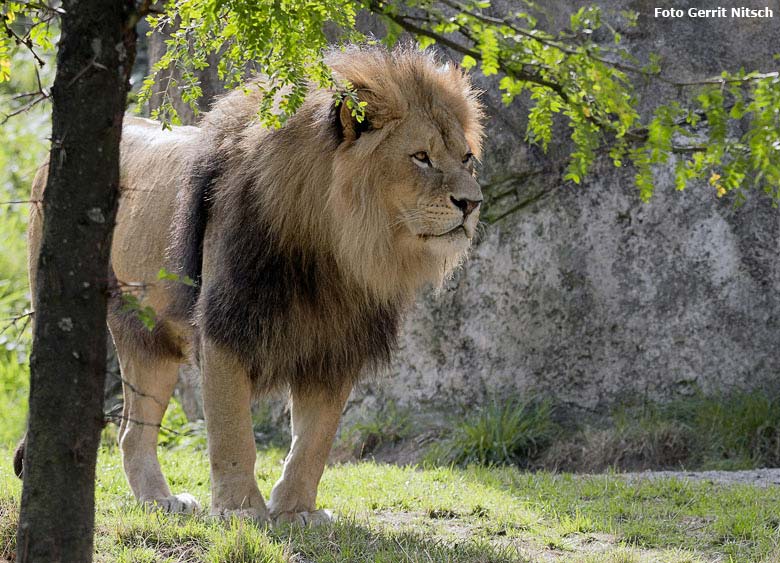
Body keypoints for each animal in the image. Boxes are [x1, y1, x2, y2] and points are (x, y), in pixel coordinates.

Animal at [21, 46, 484, 528]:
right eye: (421, 157)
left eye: (466, 158)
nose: (472, 203)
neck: (333, 248)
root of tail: (49, 160)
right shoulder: (225, 328)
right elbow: (233, 432)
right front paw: (240, 510)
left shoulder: (335, 347)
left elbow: (314, 441)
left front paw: (297, 510)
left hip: (151, 342)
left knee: (132, 431)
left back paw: (160, 501)